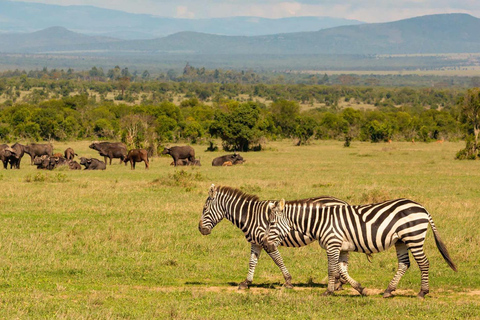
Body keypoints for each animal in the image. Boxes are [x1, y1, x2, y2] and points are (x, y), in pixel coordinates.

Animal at [199, 184, 348, 288]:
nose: (200, 229)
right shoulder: (255, 242)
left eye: (205, 209)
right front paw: (246, 282)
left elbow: (278, 260)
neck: (250, 215)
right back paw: (339, 283)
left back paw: (338, 283)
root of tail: (343, 202)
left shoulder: (267, 242)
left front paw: (288, 281)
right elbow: (252, 261)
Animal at [262, 198, 458, 298]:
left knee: (424, 263)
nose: (265, 244)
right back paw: (388, 291)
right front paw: (361, 289)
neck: (321, 221)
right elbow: (342, 270)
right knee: (404, 264)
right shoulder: (342, 248)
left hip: (414, 236)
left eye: (271, 223)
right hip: (401, 241)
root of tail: (422, 208)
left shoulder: (333, 244)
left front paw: (328, 291)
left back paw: (422, 292)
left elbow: (332, 269)